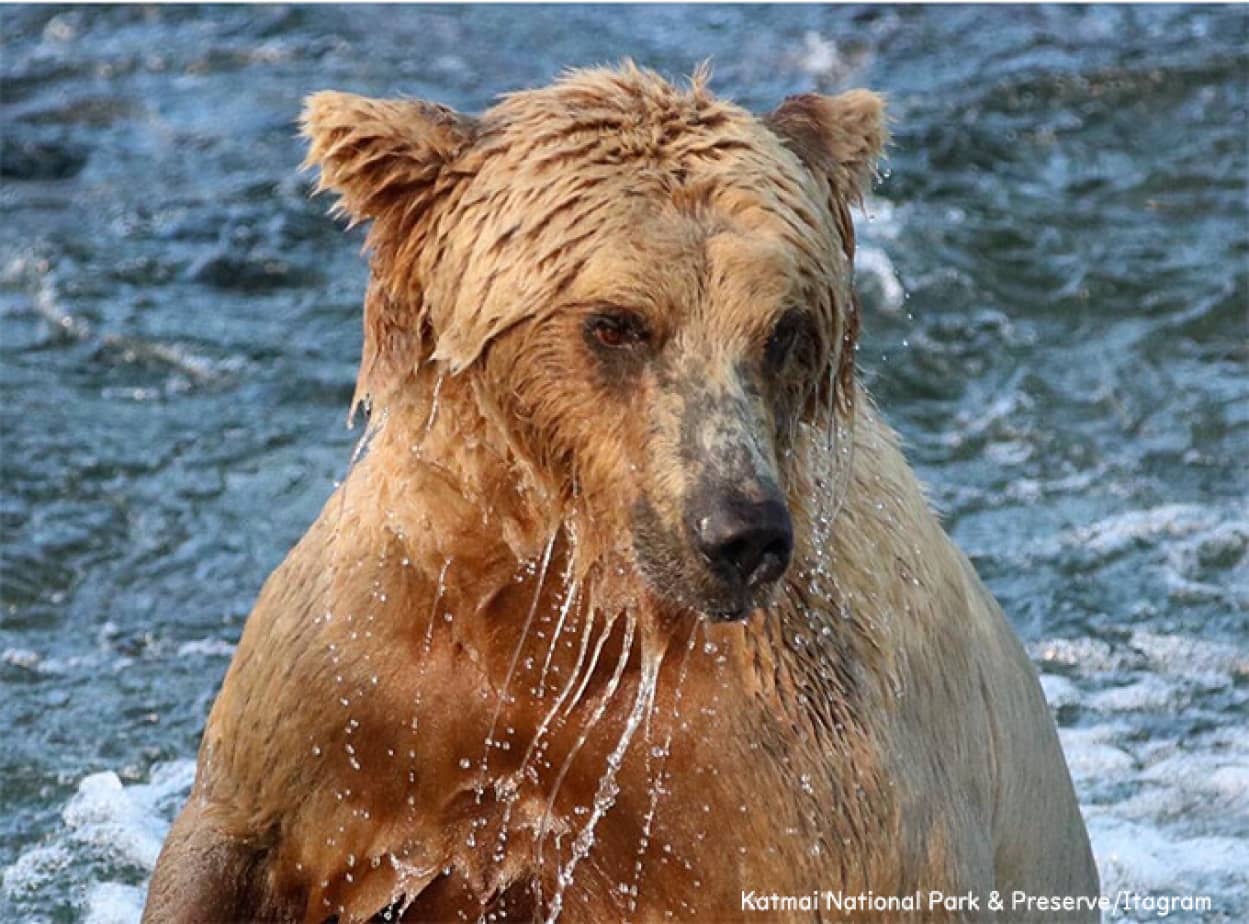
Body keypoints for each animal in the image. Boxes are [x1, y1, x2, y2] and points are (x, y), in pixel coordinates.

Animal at [146, 61, 1099, 919]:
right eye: (616, 323)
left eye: (782, 330)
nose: (739, 532)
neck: (578, 606)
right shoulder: (362, 675)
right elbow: (234, 837)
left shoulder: (816, 785)